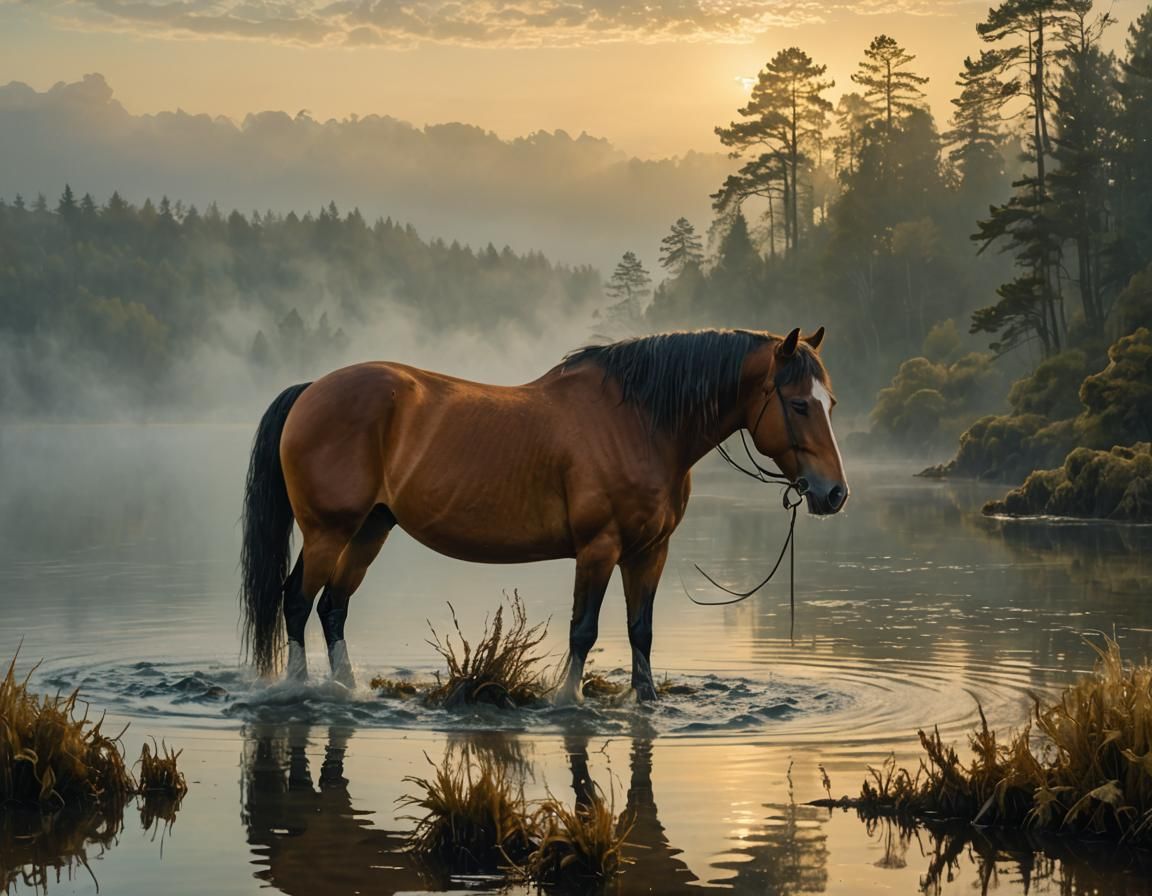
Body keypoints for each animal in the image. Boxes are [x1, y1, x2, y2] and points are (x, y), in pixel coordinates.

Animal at [239, 326, 848, 703]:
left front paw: (645, 701)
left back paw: (347, 690)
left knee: (333, 608)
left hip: (370, 529)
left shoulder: (649, 552)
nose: (834, 494)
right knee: (297, 601)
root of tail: (312, 390)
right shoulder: (599, 549)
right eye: (798, 404)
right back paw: (299, 691)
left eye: (831, 403)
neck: (641, 423)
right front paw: (567, 700)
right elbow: (584, 631)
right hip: (329, 531)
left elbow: (641, 632)